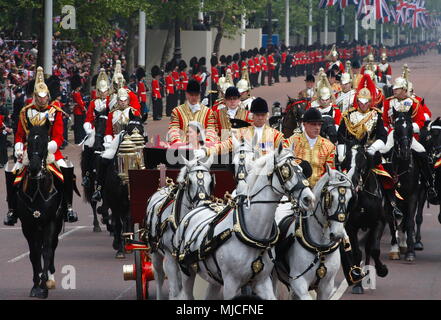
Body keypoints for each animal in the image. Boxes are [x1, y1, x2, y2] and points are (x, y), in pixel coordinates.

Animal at [16, 124, 64, 298]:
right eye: (28, 142)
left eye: (45, 142)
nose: (34, 168)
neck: (37, 189)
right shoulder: (28, 225)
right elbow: (34, 253)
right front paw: (35, 286)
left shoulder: (50, 222)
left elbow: (47, 252)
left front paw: (43, 287)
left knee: (52, 247)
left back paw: (50, 278)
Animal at [144, 156, 213, 298]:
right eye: (190, 182)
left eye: (211, 182)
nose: (203, 205)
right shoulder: (170, 258)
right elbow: (174, 290)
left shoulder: (184, 261)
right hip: (155, 252)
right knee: (159, 276)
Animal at [174, 145, 314, 300]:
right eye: (285, 171)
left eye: (302, 170)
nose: (309, 199)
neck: (252, 231)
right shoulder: (230, 285)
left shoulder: (263, 282)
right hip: (186, 272)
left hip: (213, 278)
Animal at [274, 168, 356, 300]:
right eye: (330, 198)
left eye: (350, 199)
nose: (337, 235)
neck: (320, 248)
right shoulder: (299, 283)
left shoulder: (326, 286)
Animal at [342, 144, 386, 294]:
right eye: (346, 158)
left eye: (362, 159)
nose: (352, 180)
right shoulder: (351, 227)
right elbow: (357, 253)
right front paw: (357, 283)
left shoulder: (378, 223)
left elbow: (374, 250)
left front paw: (382, 270)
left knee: (368, 249)